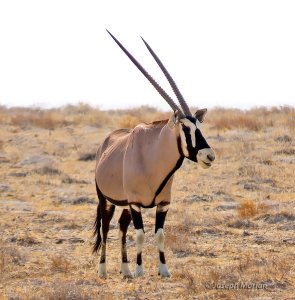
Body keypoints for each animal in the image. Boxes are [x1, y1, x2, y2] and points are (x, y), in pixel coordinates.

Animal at [93, 29, 216, 276]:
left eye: (199, 126)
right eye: (185, 128)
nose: (208, 155)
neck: (151, 158)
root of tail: (105, 143)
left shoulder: (162, 204)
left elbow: (159, 235)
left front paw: (163, 270)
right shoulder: (136, 203)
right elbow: (140, 235)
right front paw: (140, 271)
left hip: (124, 204)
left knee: (121, 227)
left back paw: (125, 271)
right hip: (106, 199)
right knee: (105, 227)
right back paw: (103, 270)